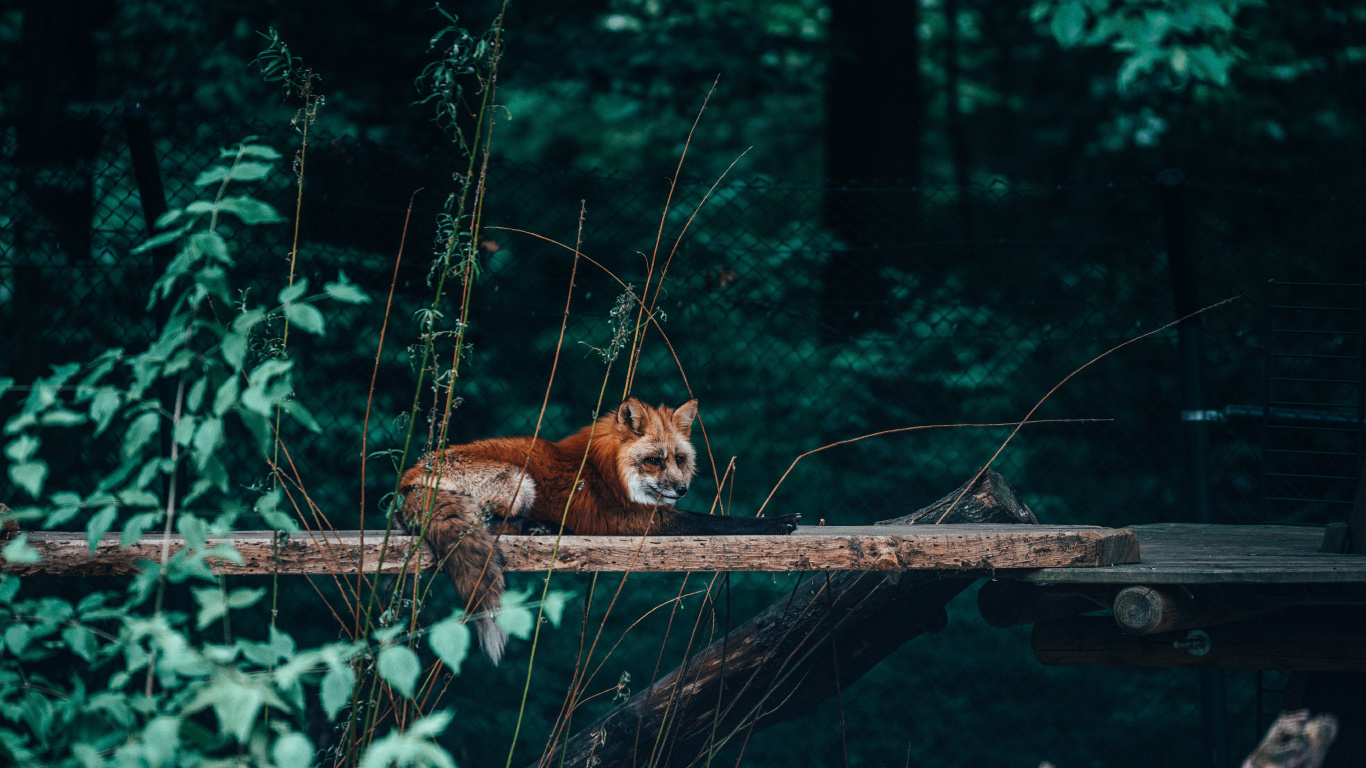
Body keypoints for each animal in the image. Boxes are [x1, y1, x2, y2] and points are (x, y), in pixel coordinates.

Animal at [397, 397, 799, 663]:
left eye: (679, 459)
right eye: (653, 460)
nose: (682, 489)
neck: (610, 470)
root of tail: (408, 481)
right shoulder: (638, 522)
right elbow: (723, 520)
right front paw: (778, 523)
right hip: (520, 482)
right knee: (493, 525)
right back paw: (542, 526)